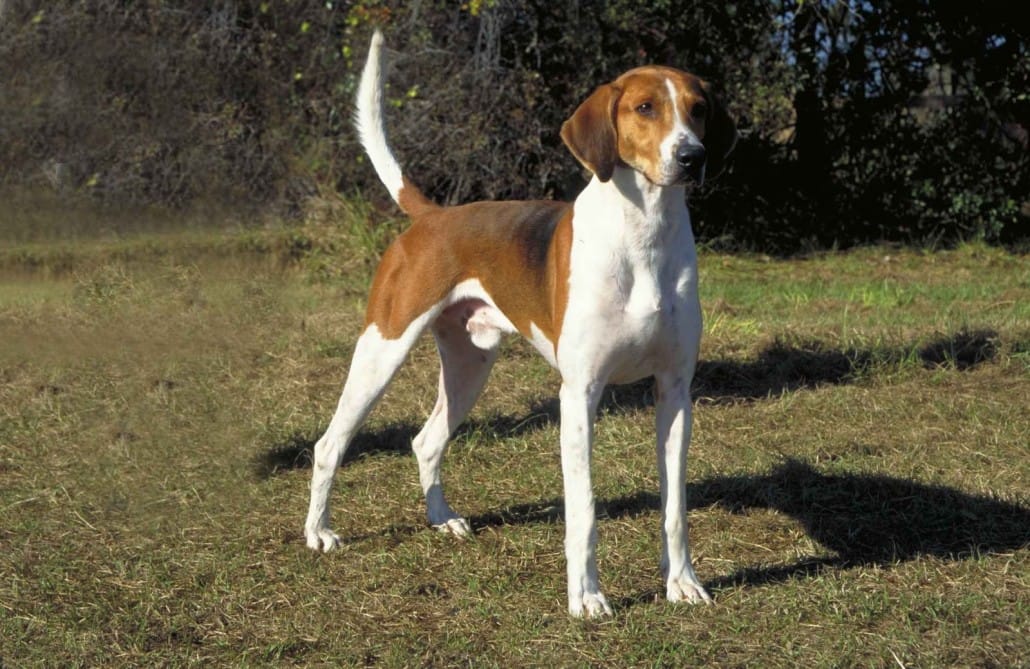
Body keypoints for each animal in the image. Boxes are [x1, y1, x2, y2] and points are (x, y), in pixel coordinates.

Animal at [300, 31, 737, 613]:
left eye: (698, 109)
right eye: (645, 108)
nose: (692, 157)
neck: (644, 233)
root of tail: (433, 216)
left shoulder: (674, 393)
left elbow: (675, 509)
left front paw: (682, 582)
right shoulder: (579, 395)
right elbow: (584, 511)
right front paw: (587, 598)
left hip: (469, 366)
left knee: (426, 441)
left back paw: (442, 520)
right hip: (381, 351)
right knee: (330, 446)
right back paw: (318, 533)